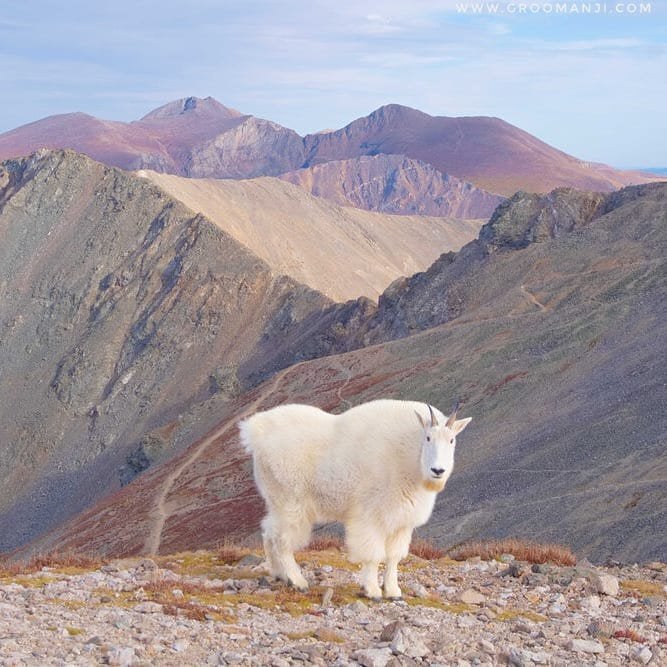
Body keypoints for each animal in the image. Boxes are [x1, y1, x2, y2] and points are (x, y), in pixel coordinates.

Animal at [237, 400, 472, 596]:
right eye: (428, 437)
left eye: (452, 440)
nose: (438, 470)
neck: (410, 459)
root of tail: (256, 432)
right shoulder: (371, 516)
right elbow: (373, 554)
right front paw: (372, 591)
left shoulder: (402, 522)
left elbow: (394, 556)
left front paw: (393, 591)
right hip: (291, 501)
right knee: (282, 539)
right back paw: (297, 581)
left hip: (276, 501)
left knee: (269, 532)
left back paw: (279, 575)